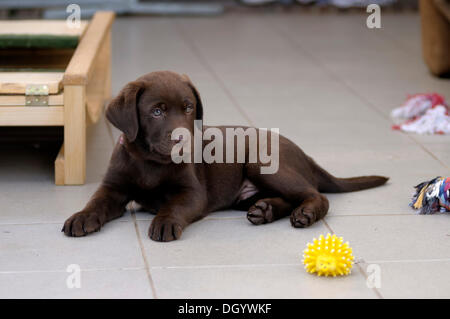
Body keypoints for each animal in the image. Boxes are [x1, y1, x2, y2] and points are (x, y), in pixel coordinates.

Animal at [62, 71, 386, 242]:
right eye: (156, 111)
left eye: (188, 107)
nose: (184, 139)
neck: (151, 162)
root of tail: (305, 155)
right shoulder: (113, 187)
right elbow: (96, 202)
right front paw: (81, 217)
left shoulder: (192, 193)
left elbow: (174, 205)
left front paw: (165, 222)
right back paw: (265, 210)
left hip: (262, 163)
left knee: (315, 194)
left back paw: (304, 213)